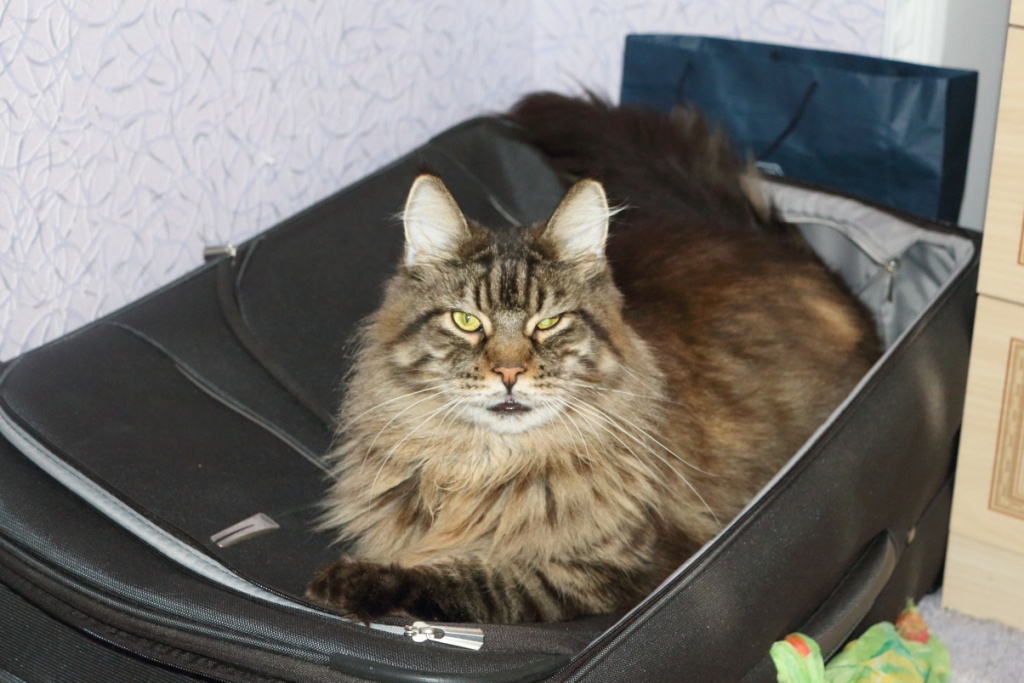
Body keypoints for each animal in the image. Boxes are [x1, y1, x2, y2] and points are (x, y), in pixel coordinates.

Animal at [305, 94, 880, 626]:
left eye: (549, 323)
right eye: (467, 321)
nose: (509, 373)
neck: (485, 464)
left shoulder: (620, 572)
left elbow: (482, 580)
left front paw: (355, 581)